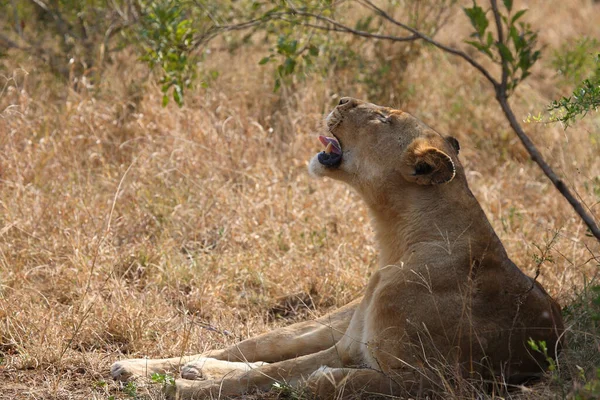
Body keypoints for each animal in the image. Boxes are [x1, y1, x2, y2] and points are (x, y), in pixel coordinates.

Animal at [111, 97, 564, 400]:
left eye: (382, 118)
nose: (343, 98)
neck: (396, 244)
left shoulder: (433, 379)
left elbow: (304, 380)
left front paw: (181, 389)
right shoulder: (350, 345)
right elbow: (271, 372)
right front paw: (183, 382)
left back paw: (186, 372)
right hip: (331, 322)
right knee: (254, 347)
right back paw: (147, 367)